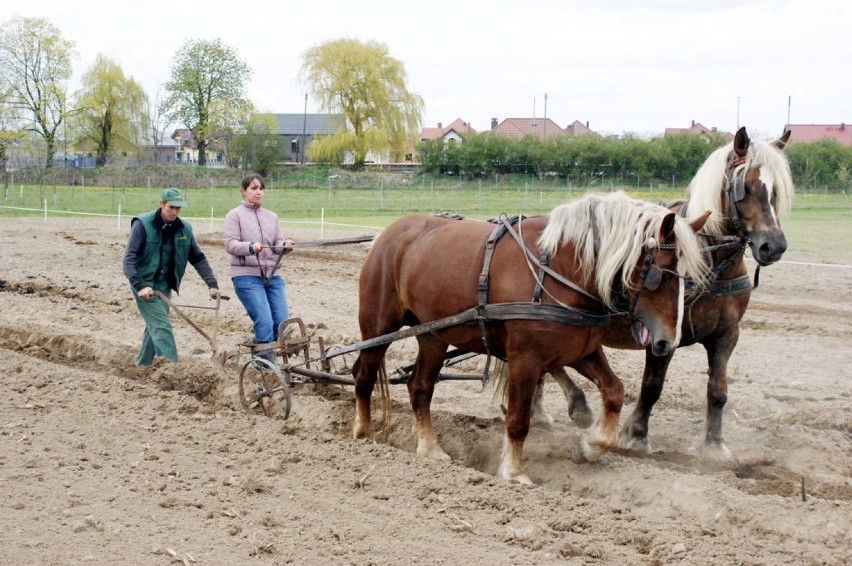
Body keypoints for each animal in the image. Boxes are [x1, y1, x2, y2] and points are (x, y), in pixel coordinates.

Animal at [350, 192, 708, 484]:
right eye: (660, 274)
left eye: (687, 277)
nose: (668, 341)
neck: (561, 269)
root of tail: (389, 232)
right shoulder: (525, 360)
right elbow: (518, 419)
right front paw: (514, 472)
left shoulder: (582, 351)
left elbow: (615, 391)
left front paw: (588, 446)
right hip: (379, 326)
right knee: (364, 375)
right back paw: (364, 434)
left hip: (433, 336)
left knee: (420, 387)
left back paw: (429, 448)